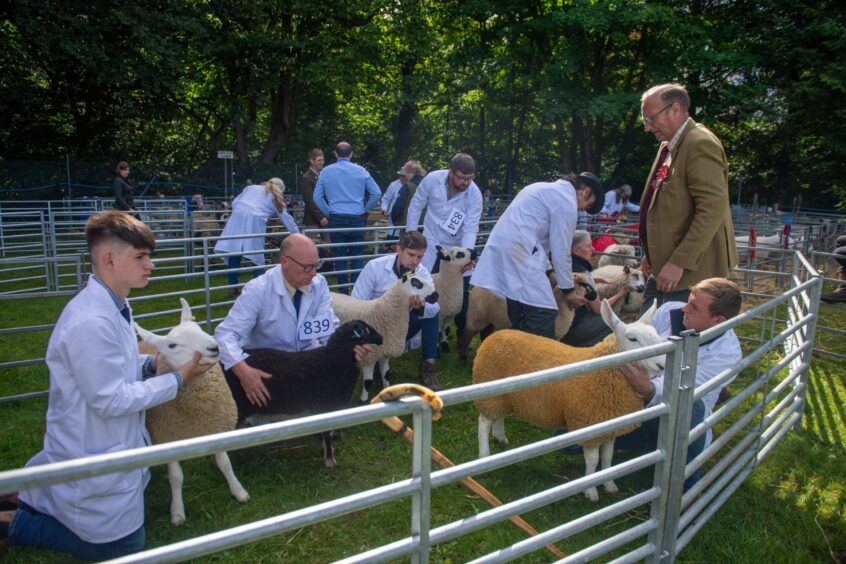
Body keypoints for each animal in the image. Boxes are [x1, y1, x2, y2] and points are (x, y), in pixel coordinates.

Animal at [136, 298, 248, 528]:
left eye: (199, 329)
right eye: (172, 345)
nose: (214, 347)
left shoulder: (216, 428)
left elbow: (226, 464)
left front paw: (238, 490)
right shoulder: (167, 436)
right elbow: (176, 477)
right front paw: (177, 512)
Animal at [330, 272, 440, 400]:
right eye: (416, 283)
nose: (436, 295)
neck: (383, 312)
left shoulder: (385, 352)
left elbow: (386, 375)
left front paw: (388, 392)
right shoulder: (370, 356)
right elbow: (368, 383)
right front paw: (363, 401)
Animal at [460, 270, 600, 360]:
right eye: (582, 284)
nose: (595, 295)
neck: (560, 310)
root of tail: (476, 287)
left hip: (489, 319)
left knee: (485, 332)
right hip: (476, 316)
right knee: (466, 332)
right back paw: (463, 356)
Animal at [474, 300, 664, 502]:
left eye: (655, 334)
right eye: (632, 339)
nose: (662, 364)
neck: (605, 371)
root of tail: (495, 335)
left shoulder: (611, 426)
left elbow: (607, 457)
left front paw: (609, 484)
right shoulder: (588, 424)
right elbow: (593, 461)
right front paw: (590, 491)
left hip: (502, 395)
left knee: (499, 416)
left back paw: (500, 437)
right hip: (489, 393)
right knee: (483, 423)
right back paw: (484, 455)